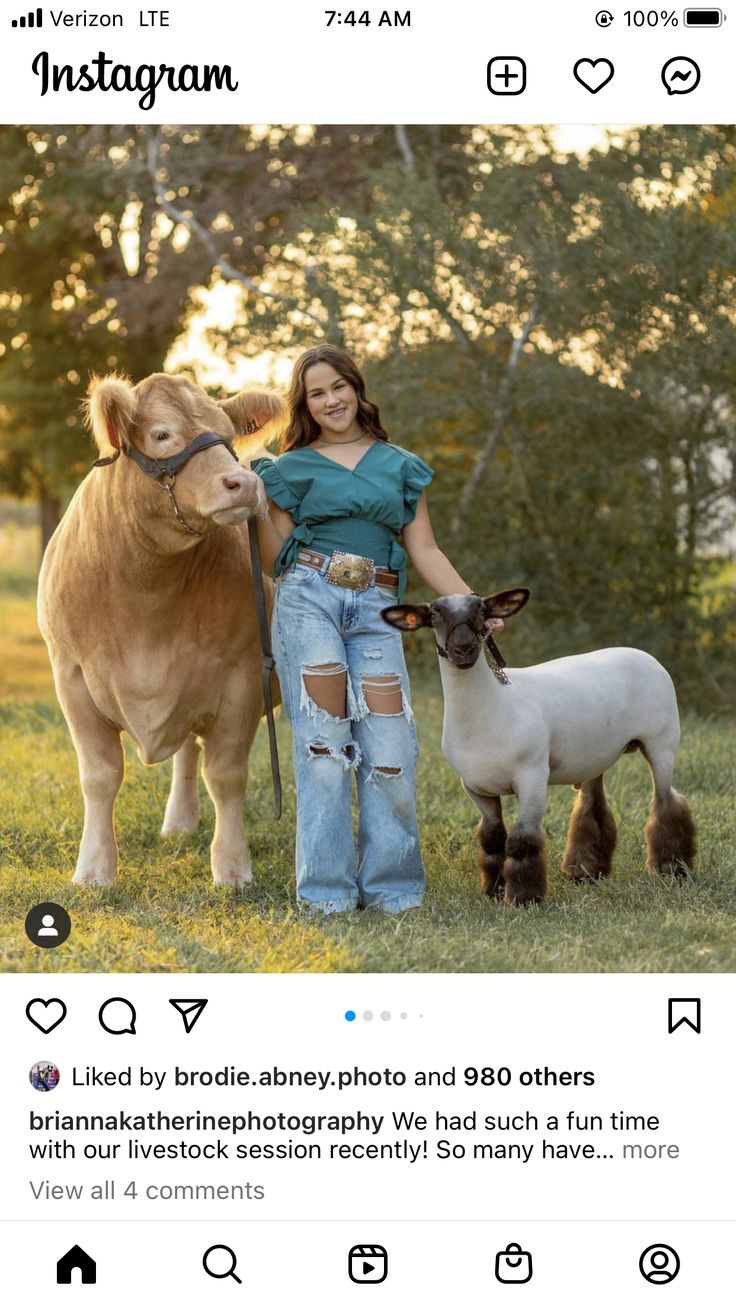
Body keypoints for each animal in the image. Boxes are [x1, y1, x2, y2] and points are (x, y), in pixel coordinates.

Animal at [37, 379, 286, 889]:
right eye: (161, 434)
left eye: (228, 432)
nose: (246, 483)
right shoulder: (70, 676)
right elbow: (99, 775)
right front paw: (93, 870)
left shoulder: (243, 675)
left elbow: (226, 774)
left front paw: (232, 867)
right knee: (187, 748)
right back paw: (179, 823)